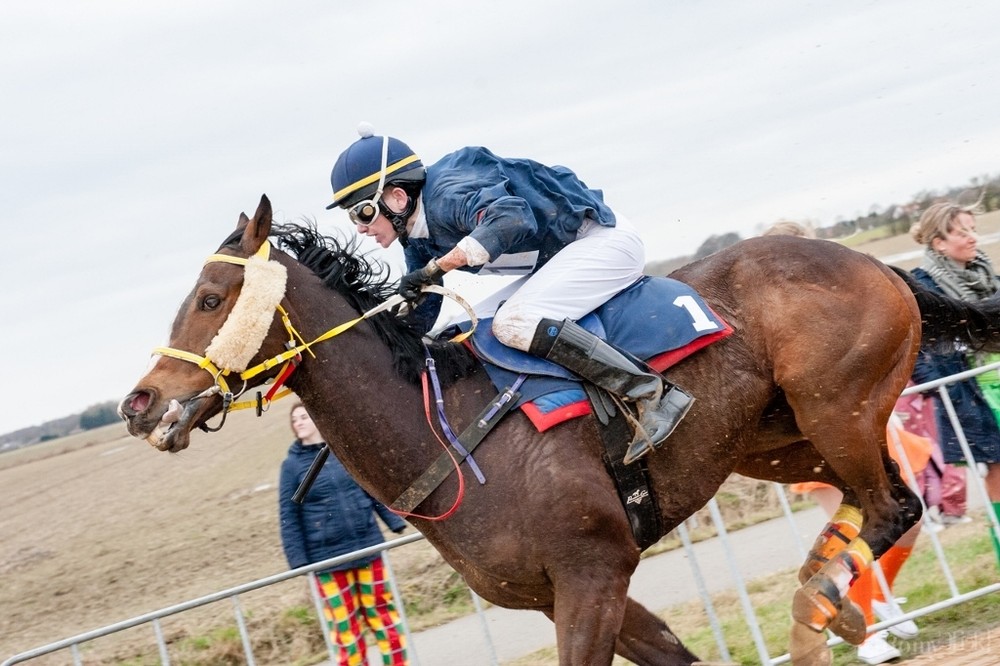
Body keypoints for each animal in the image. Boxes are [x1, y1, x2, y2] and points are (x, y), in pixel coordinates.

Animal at [119, 195, 1000, 665]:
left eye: (210, 297)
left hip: (836, 407)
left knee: (894, 505)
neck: (447, 437)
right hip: (775, 441)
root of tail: (882, 264)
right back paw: (830, 601)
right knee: (878, 502)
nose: (139, 404)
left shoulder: (592, 574)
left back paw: (821, 601)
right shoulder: (562, 593)